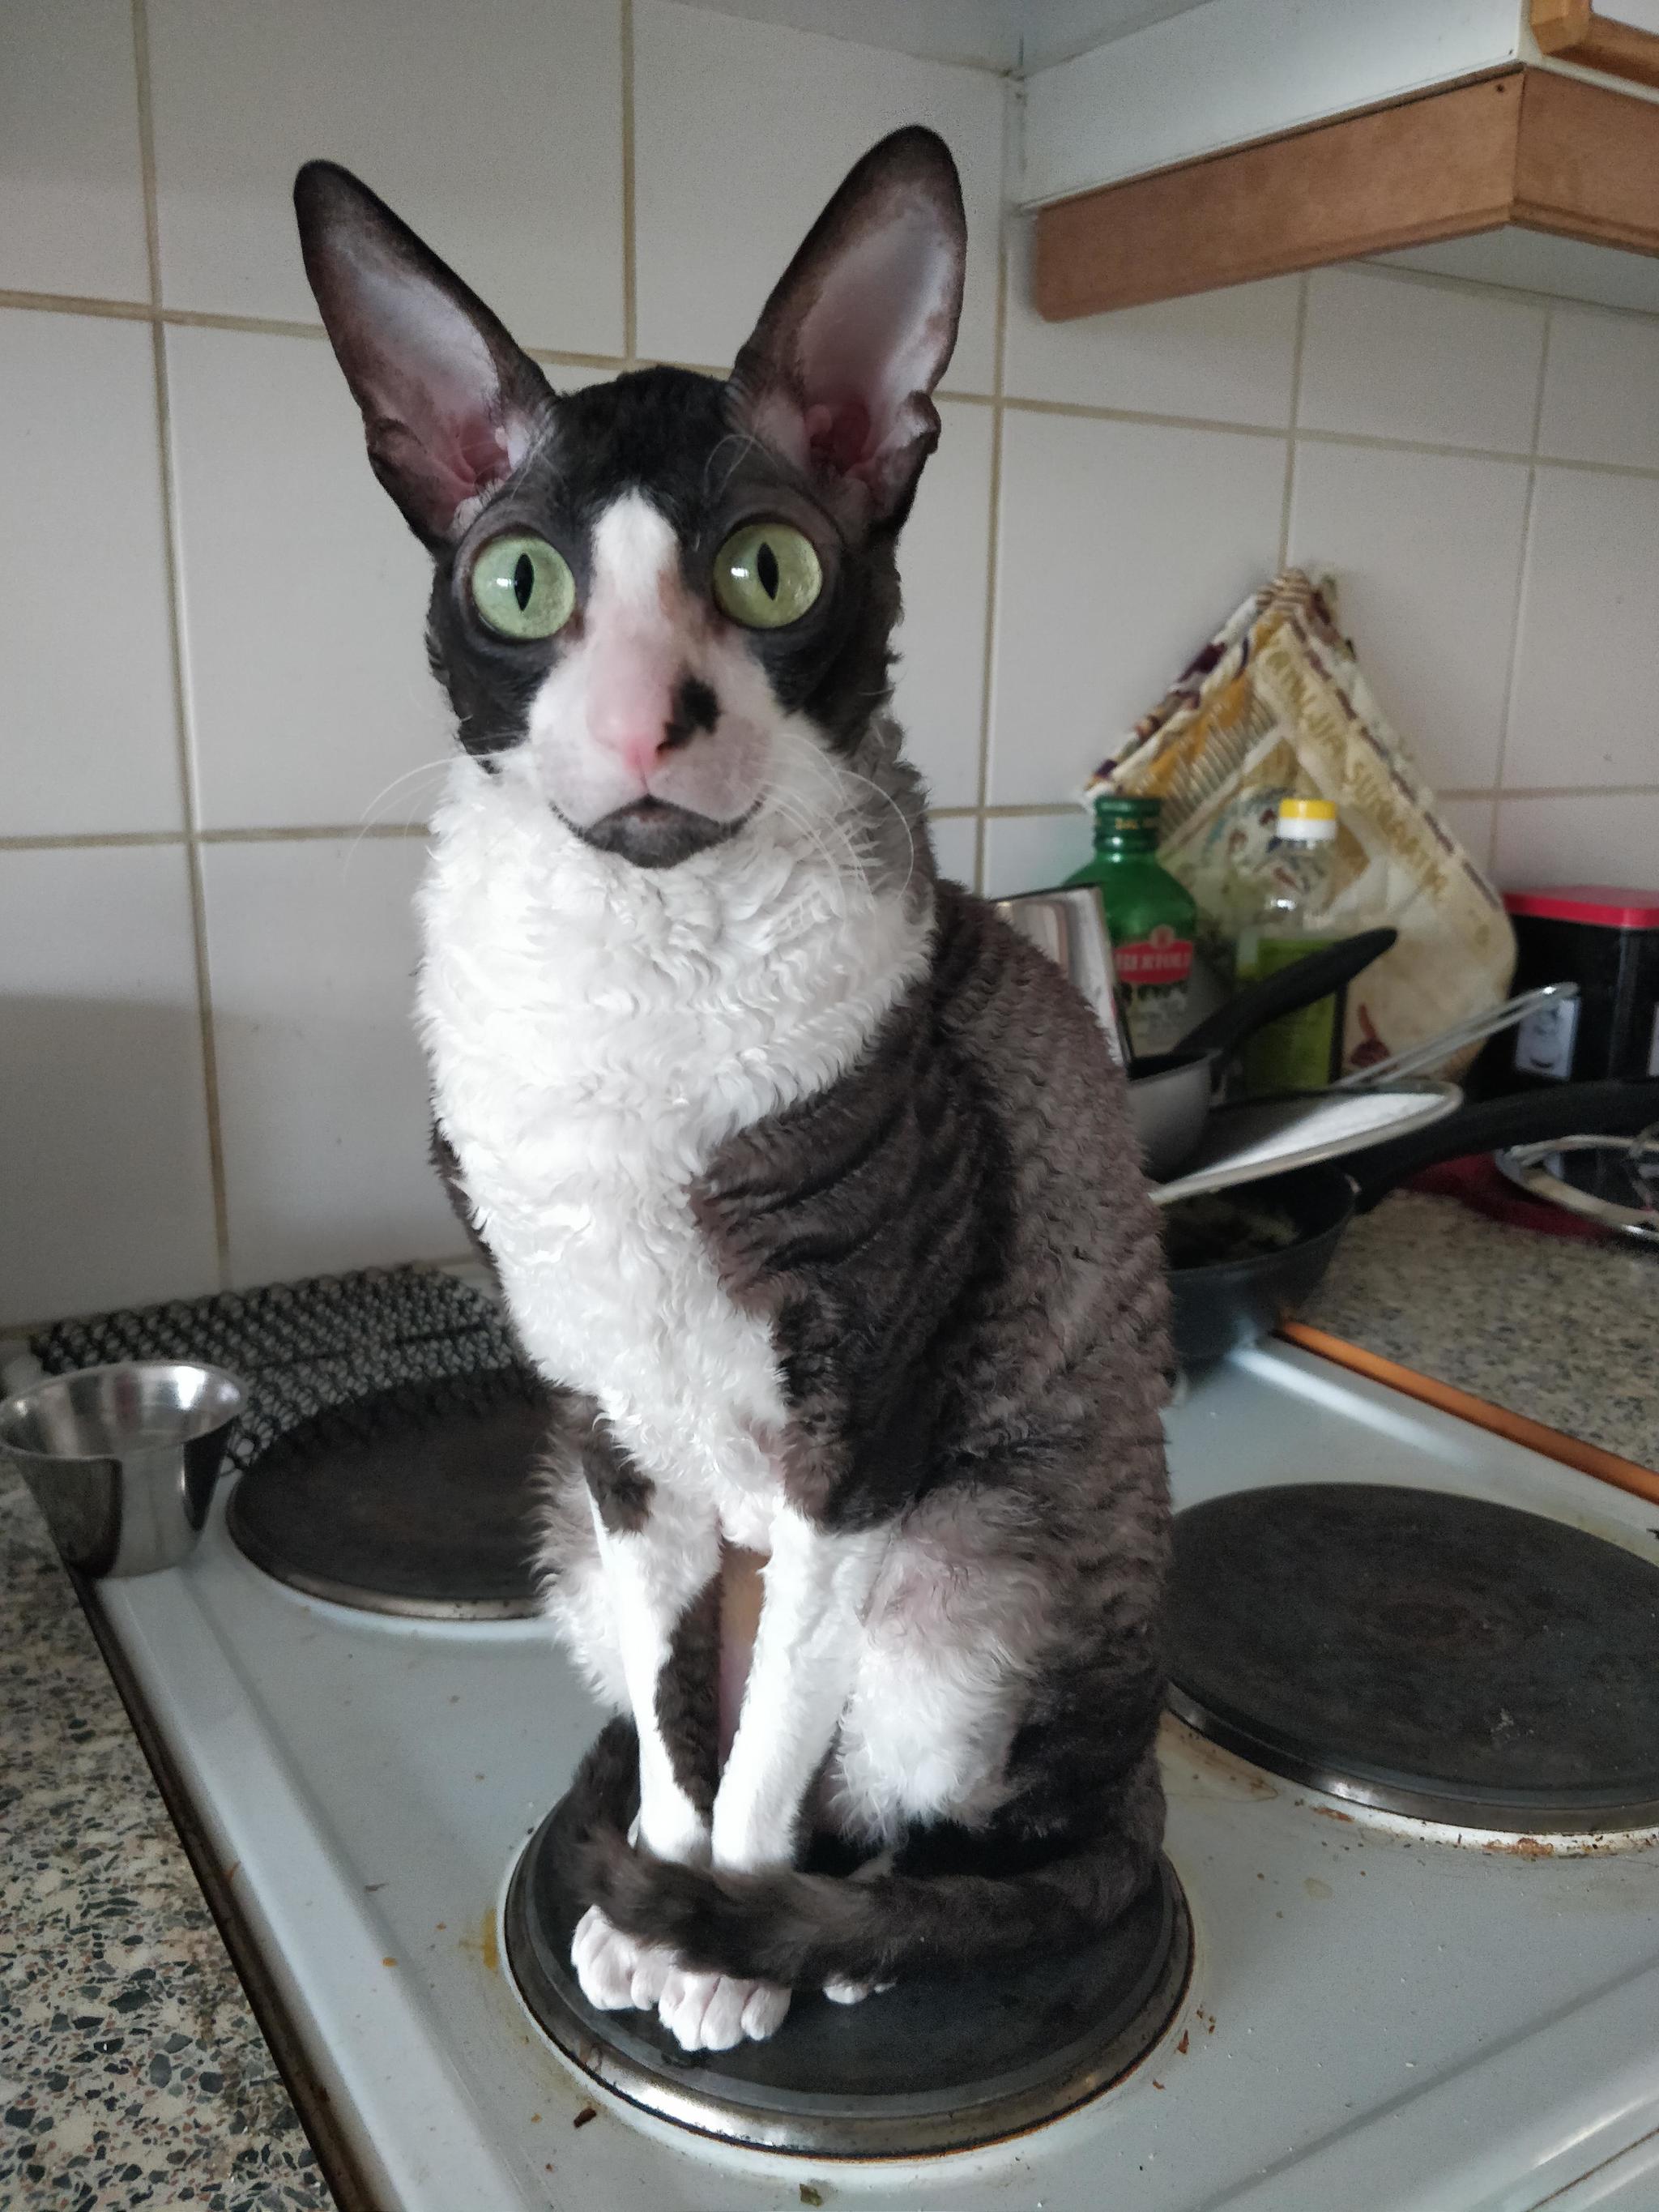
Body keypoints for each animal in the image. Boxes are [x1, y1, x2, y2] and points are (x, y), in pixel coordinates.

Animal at [292, 121, 1176, 2052]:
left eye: (770, 571)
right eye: (522, 585)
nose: (646, 721)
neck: (634, 977)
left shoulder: (858, 1428)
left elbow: (768, 1738)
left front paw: (720, 1933)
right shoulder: (613, 1426)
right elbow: (681, 1706)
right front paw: (662, 1881)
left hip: (967, 1568)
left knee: (960, 1810)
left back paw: (832, 1933)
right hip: (559, 1509)